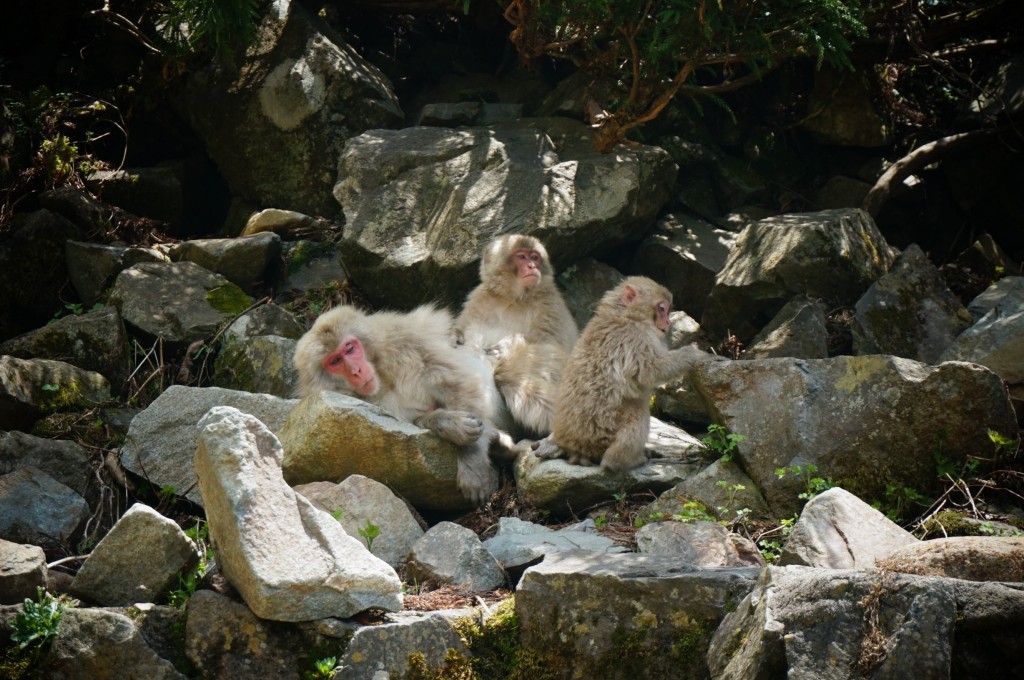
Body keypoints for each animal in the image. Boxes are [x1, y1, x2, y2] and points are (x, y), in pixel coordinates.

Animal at [294, 303, 516, 503]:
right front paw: (451, 425)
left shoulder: (404, 340)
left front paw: (472, 459)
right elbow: (408, 428)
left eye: (349, 349)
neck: (382, 378)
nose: (356, 371)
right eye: (334, 361)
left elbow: (458, 382)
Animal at [454, 233, 581, 436]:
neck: (513, 298)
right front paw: (454, 335)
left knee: (513, 374)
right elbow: (462, 333)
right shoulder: (479, 298)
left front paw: (507, 345)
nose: (531, 266)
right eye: (521, 256)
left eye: (534, 257)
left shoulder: (551, 304)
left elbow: (553, 348)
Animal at [532, 276, 724, 473]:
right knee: (637, 410)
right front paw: (695, 355)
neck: (624, 314)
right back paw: (623, 461)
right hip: (604, 434)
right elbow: (650, 369)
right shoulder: (635, 336)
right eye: (662, 308)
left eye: (667, 310)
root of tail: (575, 445)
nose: (668, 323)